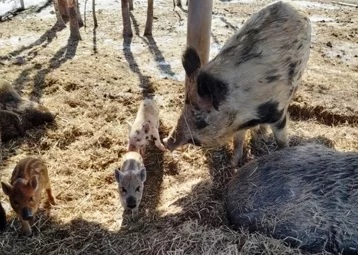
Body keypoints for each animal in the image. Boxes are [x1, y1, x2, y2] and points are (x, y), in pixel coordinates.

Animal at [164, 0, 310, 164]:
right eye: (184, 105)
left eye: (201, 122)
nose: (166, 142)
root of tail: (293, 7)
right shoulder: (239, 123)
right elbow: (238, 141)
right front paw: (234, 164)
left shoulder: (277, 111)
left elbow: (281, 140)